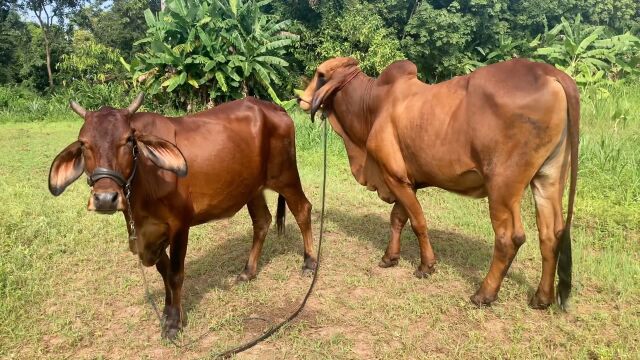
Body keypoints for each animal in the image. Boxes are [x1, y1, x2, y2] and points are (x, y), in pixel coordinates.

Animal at [300, 58, 580, 310]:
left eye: (320, 74)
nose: (301, 100)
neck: (372, 105)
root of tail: (549, 72)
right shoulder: (405, 180)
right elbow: (398, 218)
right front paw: (390, 257)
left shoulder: (394, 176)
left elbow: (418, 222)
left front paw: (426, 265)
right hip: (548, 177)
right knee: (551, 234)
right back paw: (541, 298)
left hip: (502, 186)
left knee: (509, 238)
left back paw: (484, 294)